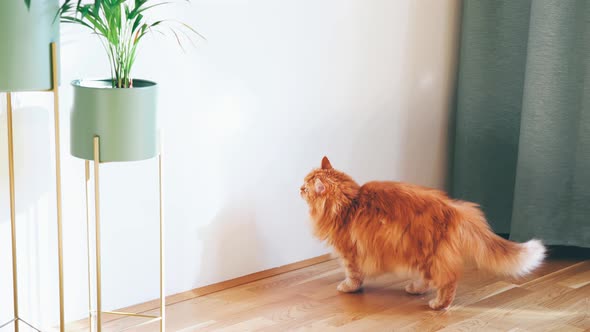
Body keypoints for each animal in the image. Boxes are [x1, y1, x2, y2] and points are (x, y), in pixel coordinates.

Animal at [302, 157, 548, 310]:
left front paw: (348, 288)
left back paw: (439, 305)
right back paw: (414, 289)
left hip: (428, 254)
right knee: (429, 279)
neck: (348, 204)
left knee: (447, 282)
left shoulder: (350, 253)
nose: (299, 188)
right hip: (422, 254)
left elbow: (353, 275)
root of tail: (454, 208)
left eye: (305, 187)